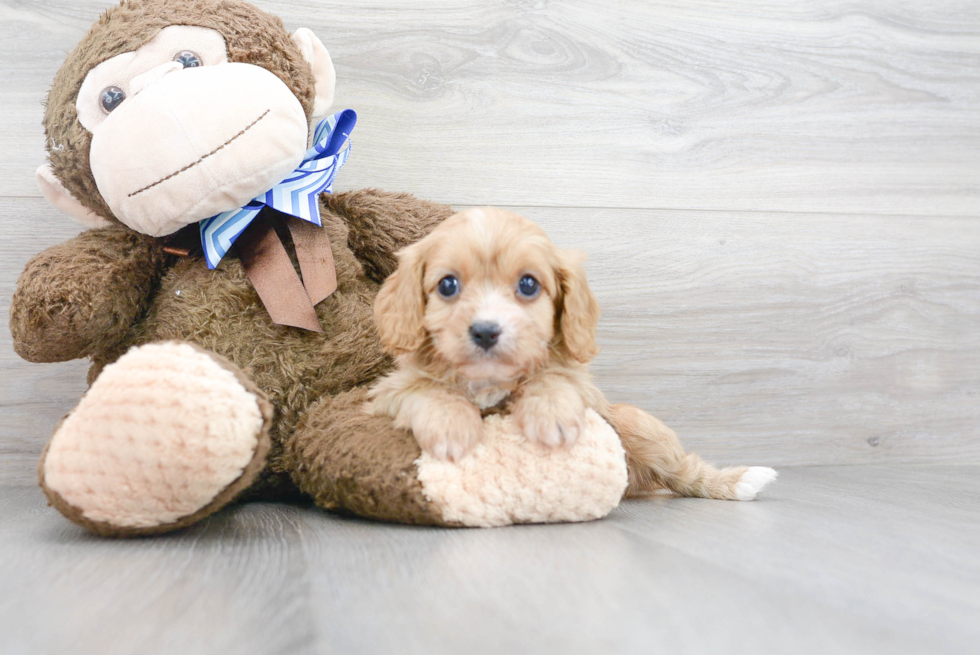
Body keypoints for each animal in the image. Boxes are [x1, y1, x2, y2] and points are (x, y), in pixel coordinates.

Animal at [368, 210, 772, 502]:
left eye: (528, 284)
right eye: (448, 285)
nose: (485, 331)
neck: (490, 382)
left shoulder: (584, 387)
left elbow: (556, 376)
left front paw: (552, 416)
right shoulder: (386, 393)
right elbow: (428, 389)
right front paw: (451, 425)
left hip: (634, 423)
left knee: (685, 471)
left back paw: (738, 482)